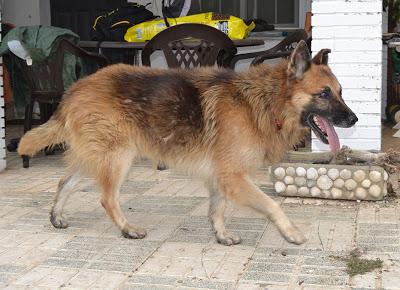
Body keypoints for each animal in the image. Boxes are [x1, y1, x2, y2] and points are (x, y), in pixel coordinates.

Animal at [18, 40, 356, 245]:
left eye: (341, 92)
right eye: (324, 94)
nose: (353, 120)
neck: (265, 101)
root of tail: (74, 88)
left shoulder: (222, 176)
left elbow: (218, 208)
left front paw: (221, 235)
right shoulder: (234, 177)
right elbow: (272, 204)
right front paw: (291, 232)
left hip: (98, 158)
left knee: (65, 182)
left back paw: (57, 216)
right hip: (119, 158)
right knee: (107, 198)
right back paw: (127, 228)